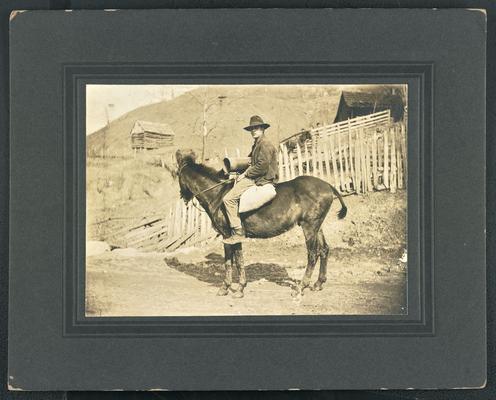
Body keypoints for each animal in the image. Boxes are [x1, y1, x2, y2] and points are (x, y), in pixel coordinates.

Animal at [176, 149, 346, 296]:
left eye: (177, 175)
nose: (183, 196)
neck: (218, 195)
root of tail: (327, 185)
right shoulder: (229, 237)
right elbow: (232, 261)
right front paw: (230, 287)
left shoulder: (230, 235)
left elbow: (235, 261)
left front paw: (236, 288)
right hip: (317, 226)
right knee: (324, 250)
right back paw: (318, 283)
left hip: (309, 227)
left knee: (312, 254)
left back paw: (301, 287)